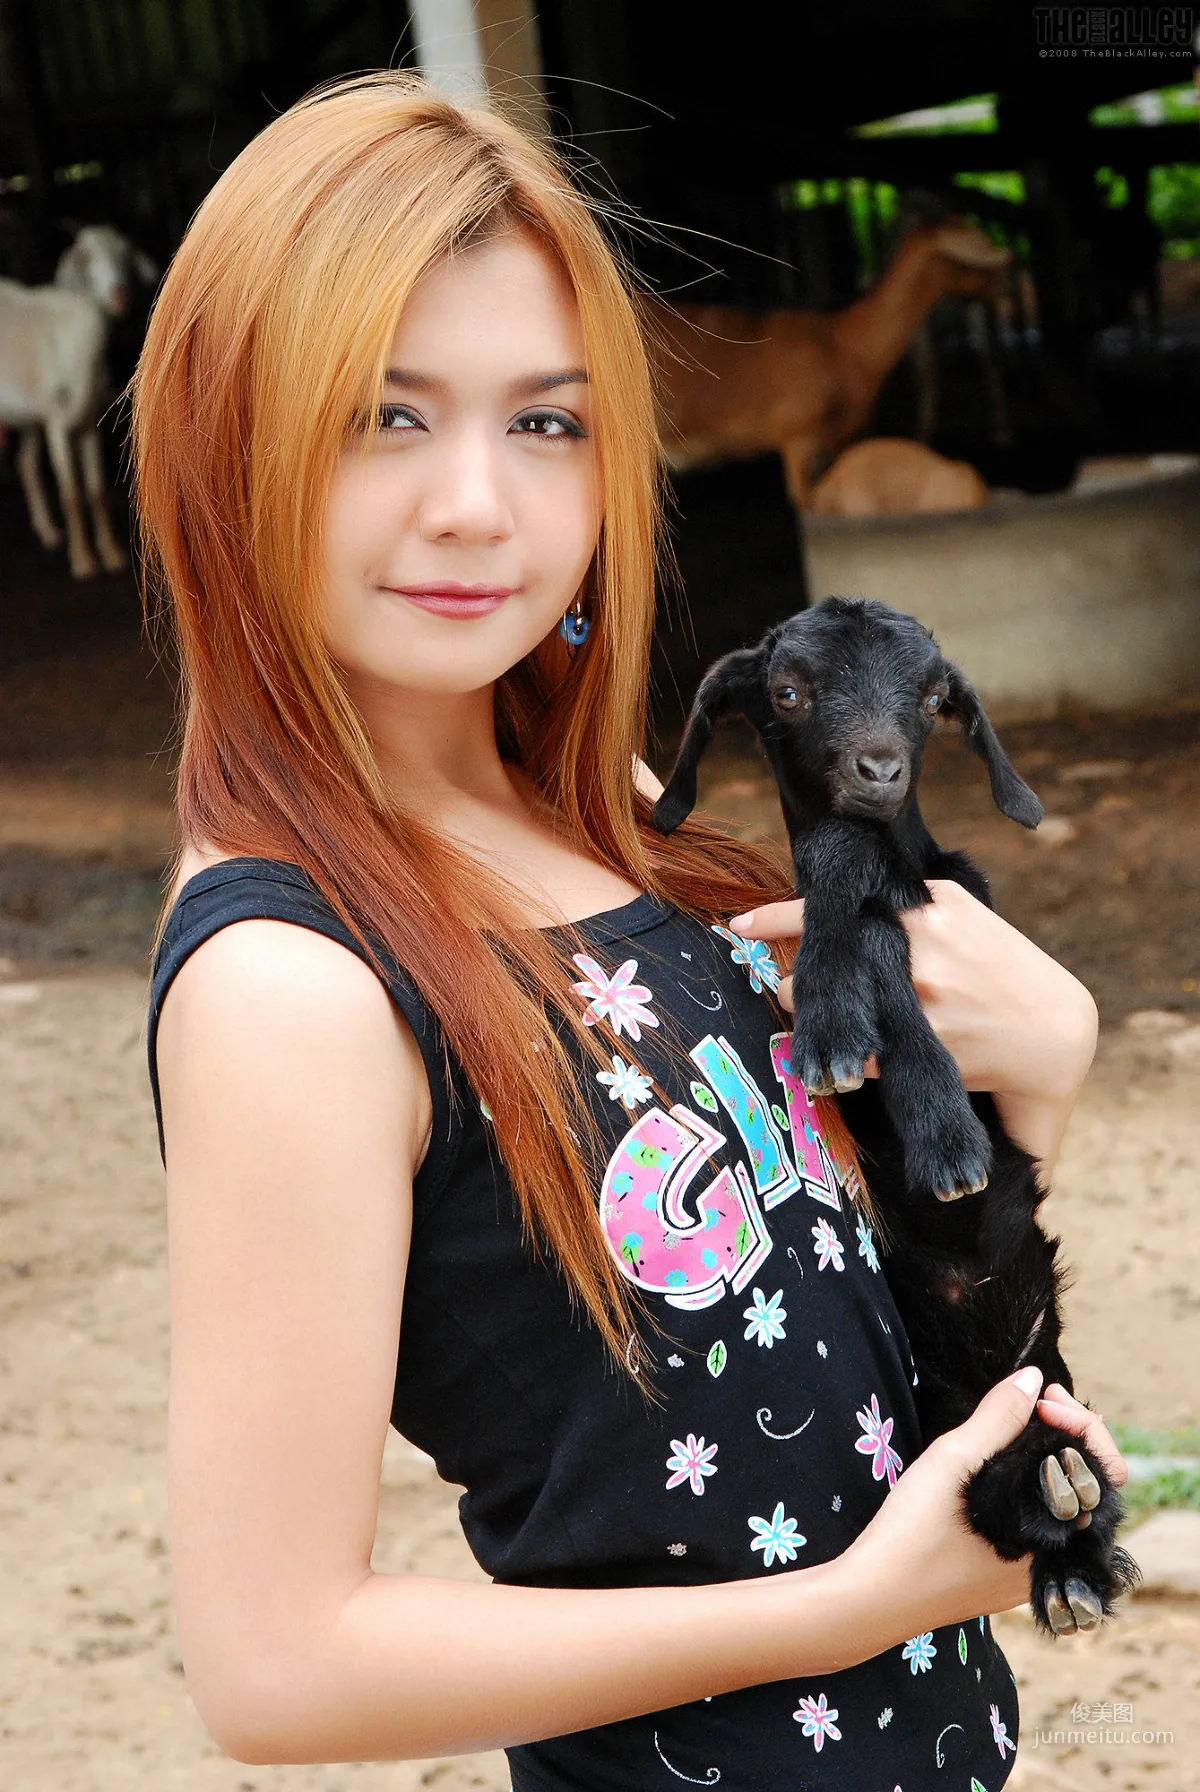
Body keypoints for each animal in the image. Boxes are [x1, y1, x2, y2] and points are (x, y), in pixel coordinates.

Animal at [650, 596, 1138, 1636]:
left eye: (927, 697)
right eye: (788, 693)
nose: (877, 770)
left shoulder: (973, 910)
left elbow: (874, 913)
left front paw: (945, 1132)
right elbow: (852, 894)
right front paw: (839, 1022)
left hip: (1045, 1374)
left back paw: (1074, 1540)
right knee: (994, 1497)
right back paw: (1054, 1521)